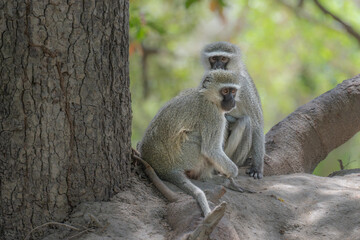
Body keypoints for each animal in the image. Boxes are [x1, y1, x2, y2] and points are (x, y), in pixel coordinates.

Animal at [200, 41, 264, 180]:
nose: (218, 66)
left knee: (245, 122)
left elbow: (257, 124)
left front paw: (257, 168)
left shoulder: (244, 86)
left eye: (224, 59)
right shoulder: (205, 81)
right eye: (214, 58)